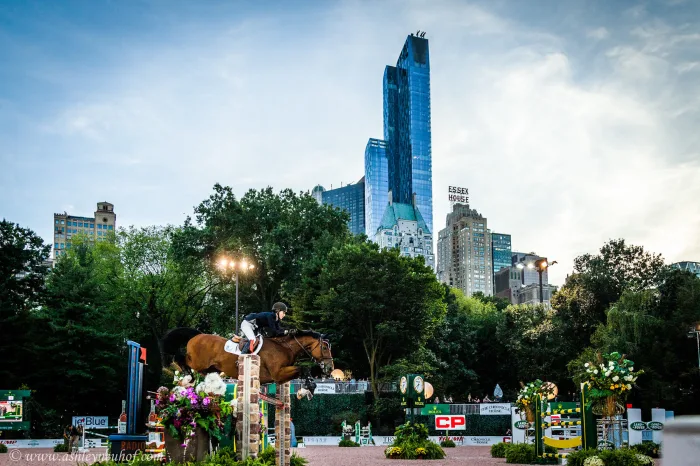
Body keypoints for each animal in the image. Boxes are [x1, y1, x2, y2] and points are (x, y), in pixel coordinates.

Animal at [161, 326, 334, 384]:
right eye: (325, 347)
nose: (330, 368)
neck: (285, 347)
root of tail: (197, 335)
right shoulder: (277, 374)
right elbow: (302, 369)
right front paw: (309, 386)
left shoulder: (280, 378)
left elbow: (302, 371)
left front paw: (309, 385)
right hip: (198, 362)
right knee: (181, 359)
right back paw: (184, 374)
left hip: (210, 368)